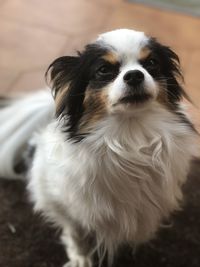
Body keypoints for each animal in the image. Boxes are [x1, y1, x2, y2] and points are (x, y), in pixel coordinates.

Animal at [0, 29, 198, 267]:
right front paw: (80, 257)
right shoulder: (66, 205)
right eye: (104, 70)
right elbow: (76, 233)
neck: (128, 135)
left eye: (151, 63)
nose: (134, 75)